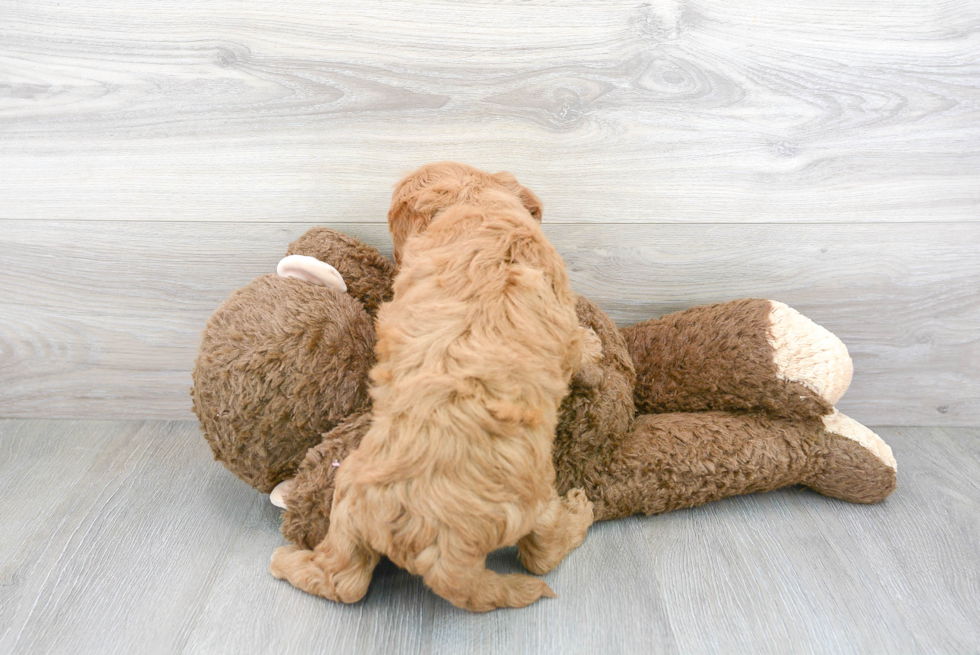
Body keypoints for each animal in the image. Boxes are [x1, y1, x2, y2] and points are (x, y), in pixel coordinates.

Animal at [272, 161, 600, 612]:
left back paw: (289, 562)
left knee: (343, 580)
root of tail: (442, 547)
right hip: (535, 501)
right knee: (542, 554)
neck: (472, 204)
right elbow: (578, 348)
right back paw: (580, 512)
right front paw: (594, 350)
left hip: (351, 498)